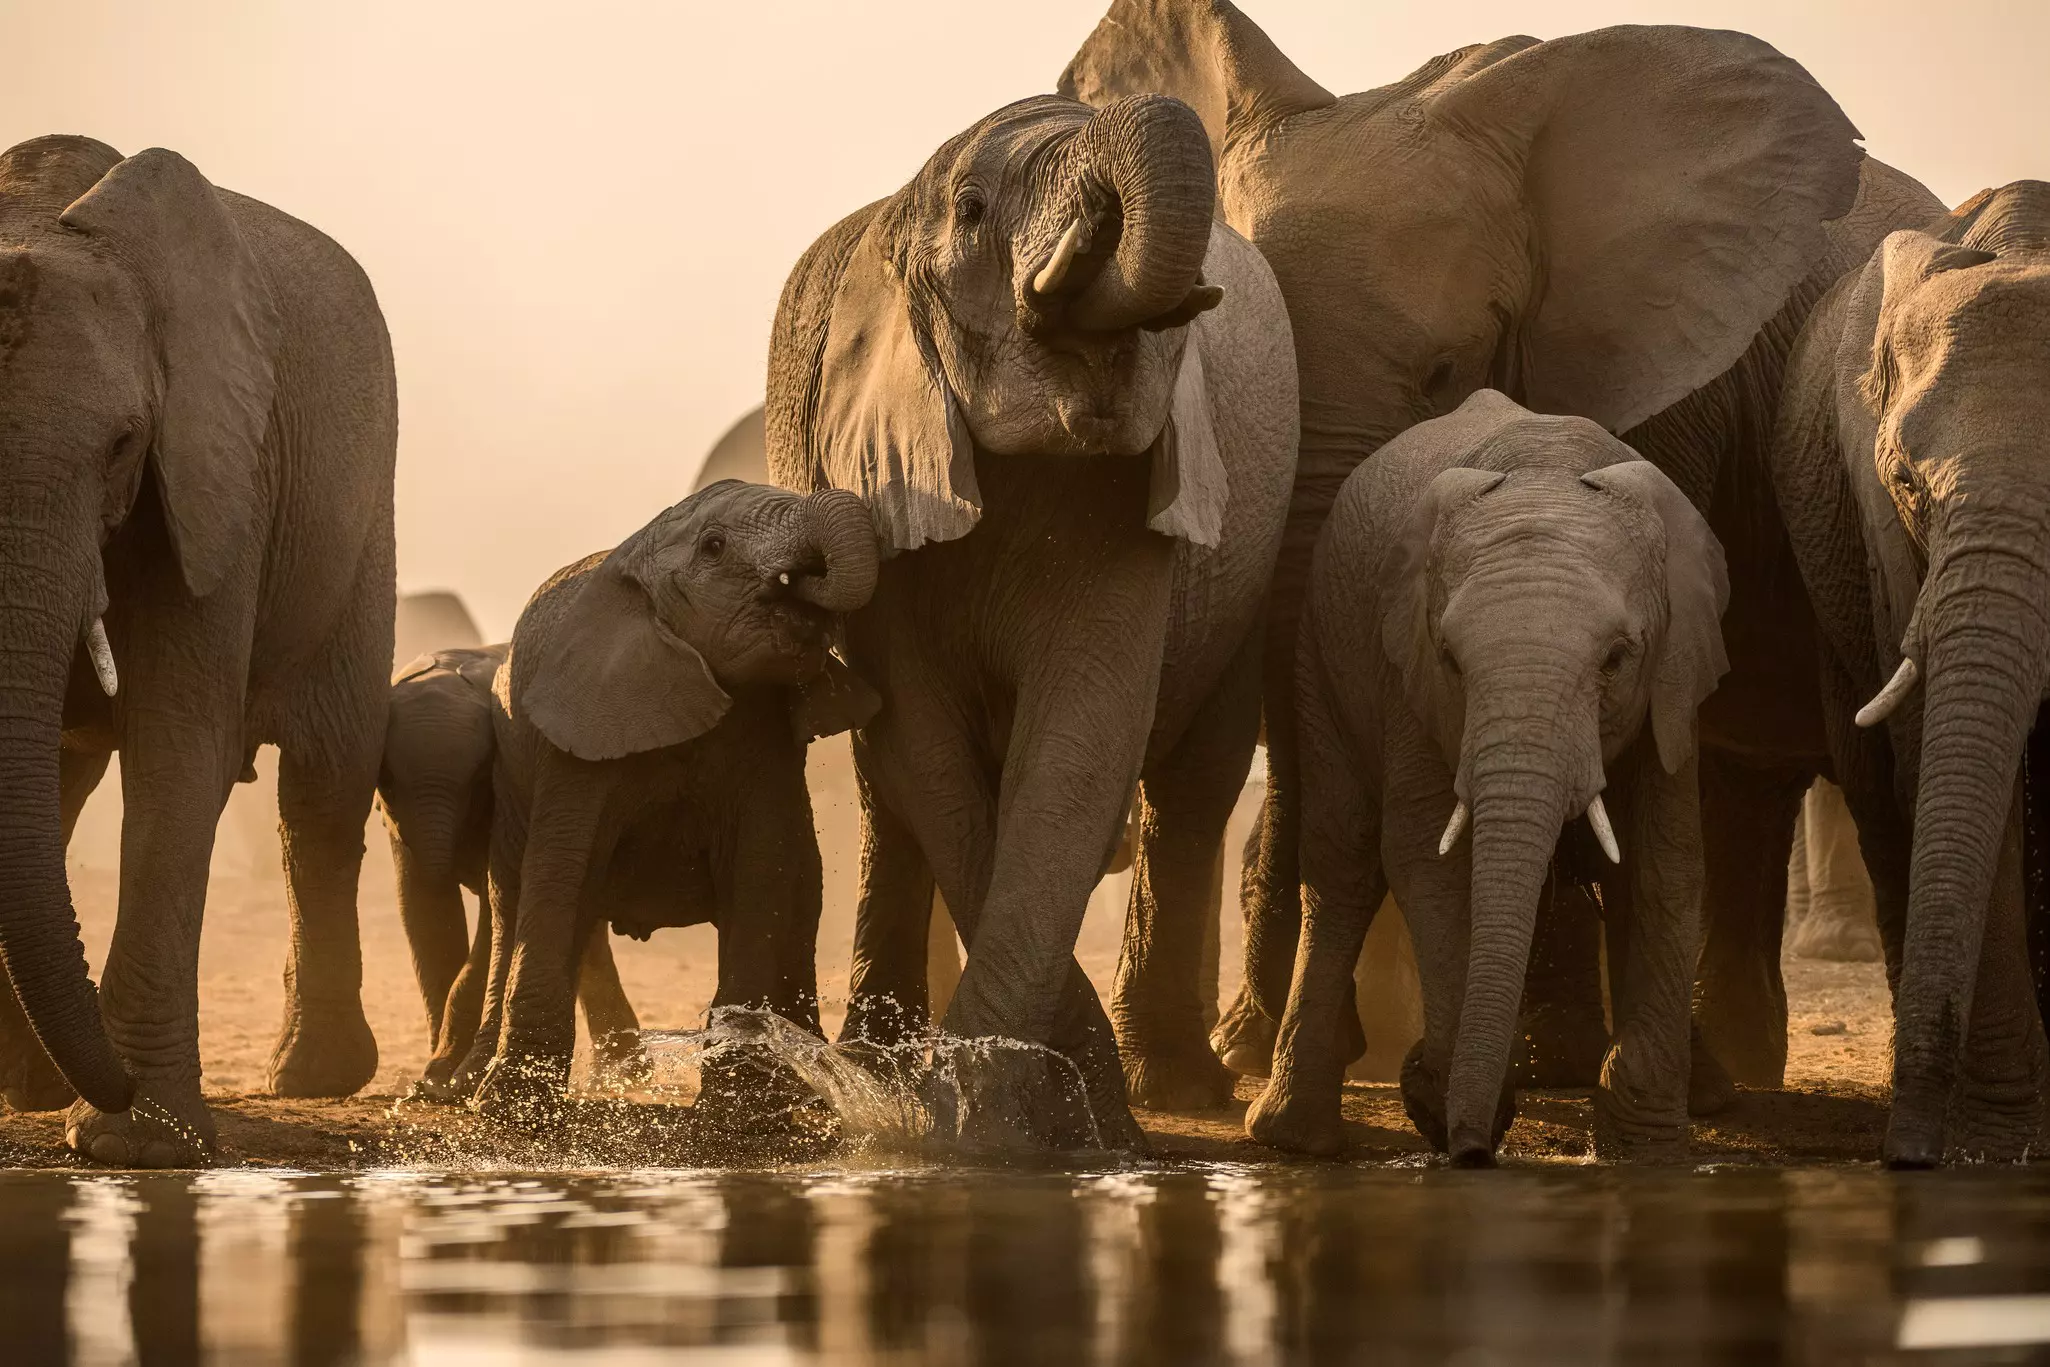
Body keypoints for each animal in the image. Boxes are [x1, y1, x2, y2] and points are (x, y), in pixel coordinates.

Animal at [0, 135, 396, 1166]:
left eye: (123, 443)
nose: (112, 1077)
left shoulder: (219, 470)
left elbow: (178, 746)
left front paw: (138, 1143)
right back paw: (29, 1088)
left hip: (361, 527)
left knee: (322, 792)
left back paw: (311, 1079)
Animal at [377, 644, 647, 1095]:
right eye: (390, 779)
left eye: (477, 776)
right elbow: (423, 912)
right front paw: (435, 1082)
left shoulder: (506, 793)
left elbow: (492, 911)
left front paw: (444, 1081)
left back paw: (622, 1074)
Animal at [465, 479, 882, 1117]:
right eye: (714, 546)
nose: (806, 581)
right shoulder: (577, 742)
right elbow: (561, 873)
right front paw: (514, 1114)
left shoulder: (764, 736)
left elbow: (763, 872)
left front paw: (745, 1111)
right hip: (511, 773)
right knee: (513, 893)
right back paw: (463, 1087)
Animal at [765, 91, 1297, 1143]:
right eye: (972, 211)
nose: (1099, 216)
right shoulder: (882, 478)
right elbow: (924, 740)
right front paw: (993, 1115)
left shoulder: (1129, 490)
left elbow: (1079, 741)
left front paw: (1019, 1119)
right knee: (888, 794)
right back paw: (875, 1057)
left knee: (1193, 787)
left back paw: (1169, 1087)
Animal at [1246, 392, 1728, 1163]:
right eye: (1449, 658)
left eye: (1618, 658)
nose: (1472, 1152)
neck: (1548, 468)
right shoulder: (1407, 674)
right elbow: (1425, 854)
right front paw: (1444, 1103)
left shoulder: (1673, 680)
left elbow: (1665, 858)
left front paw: (1644, 1146)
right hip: (1319, 653)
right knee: (1343, 863)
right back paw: (1296, 1137)